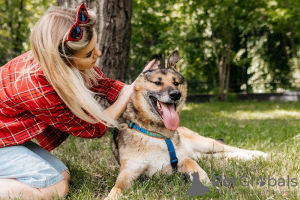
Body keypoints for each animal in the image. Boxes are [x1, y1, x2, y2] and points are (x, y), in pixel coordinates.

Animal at [106, 49, 268, 199]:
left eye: (176, 83)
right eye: (157, 82)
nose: (176, 95)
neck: (157, 132)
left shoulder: (185, 160)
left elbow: (199, 171)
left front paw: (210, 186)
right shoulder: (128, 172)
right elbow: (116, 188)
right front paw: (110, 196)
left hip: (204, 144)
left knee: (231, 149)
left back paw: (259, 154)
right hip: (204, 154)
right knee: (224, 155)